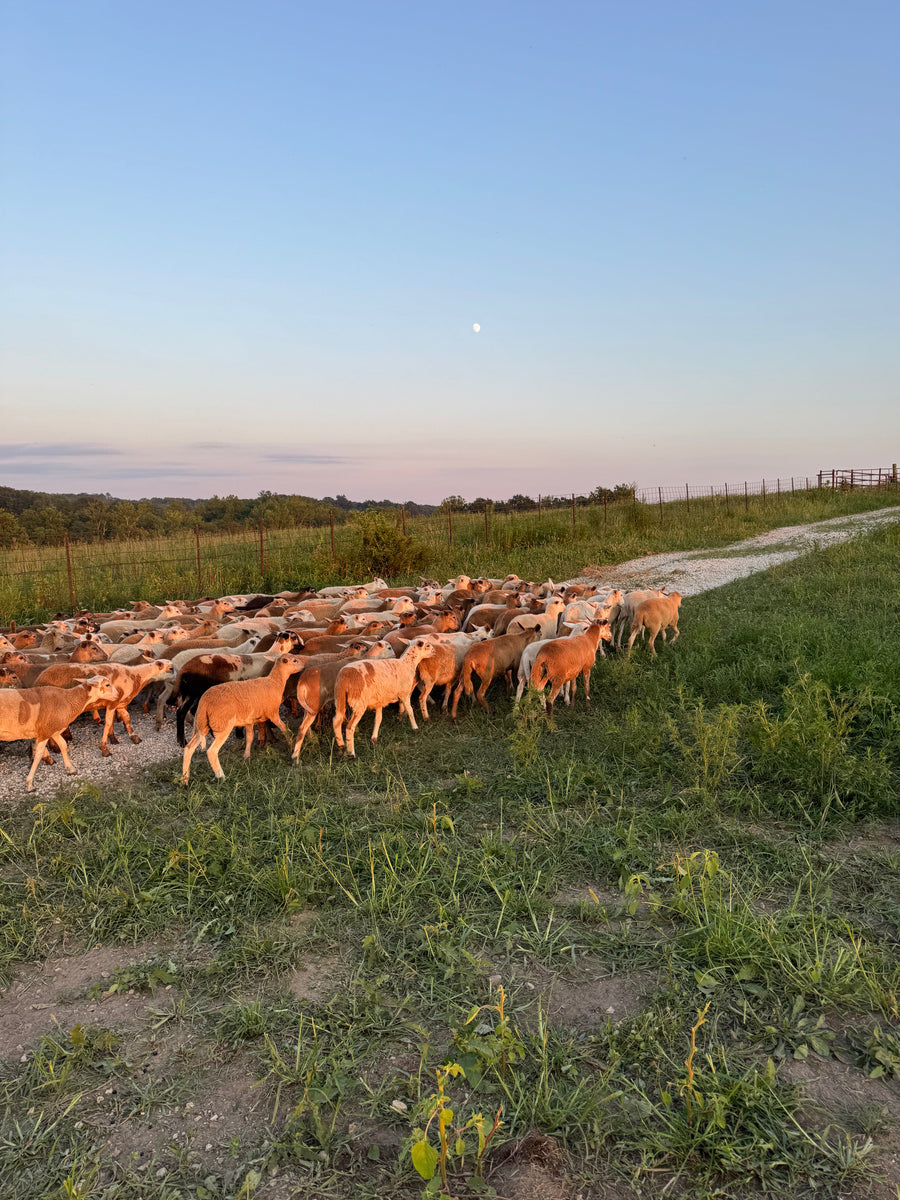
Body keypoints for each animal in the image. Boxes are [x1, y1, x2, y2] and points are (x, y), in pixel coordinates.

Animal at [180, 654, 307, 783]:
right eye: (294, 660)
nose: (304, 666)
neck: (275, 682)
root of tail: (204, 701)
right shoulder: (272, 713)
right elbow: (284, 728)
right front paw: (291, 743)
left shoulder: (249, 720)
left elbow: (250, 737)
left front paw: (246, 756)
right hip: (222, 724)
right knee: (211, 751)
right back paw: (221, 776)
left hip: (202, 724)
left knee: (188, 748)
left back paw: (184, 780)